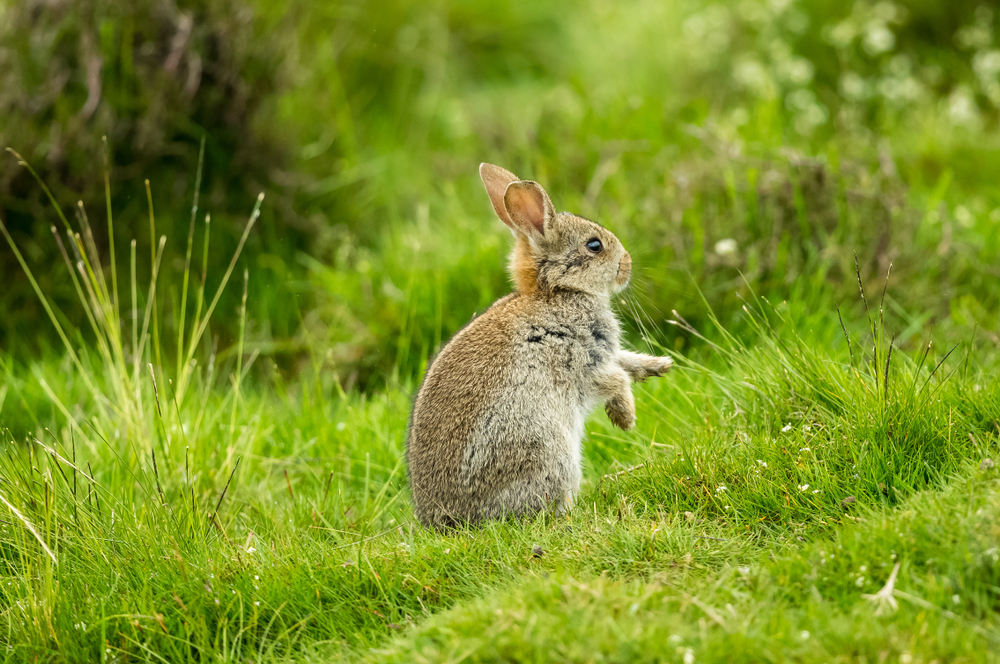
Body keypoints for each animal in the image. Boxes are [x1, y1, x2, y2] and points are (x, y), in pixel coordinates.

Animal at [406, 163, 672, 528]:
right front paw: (625, 418)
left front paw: (659, 366)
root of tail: (446, 520)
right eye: (594, 245)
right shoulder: (581, 361)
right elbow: (614, 379)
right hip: (545, 447)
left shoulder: (606, 355)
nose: (627, 266)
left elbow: (625, 363)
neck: (557, 292)